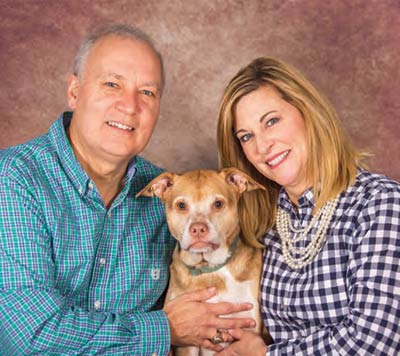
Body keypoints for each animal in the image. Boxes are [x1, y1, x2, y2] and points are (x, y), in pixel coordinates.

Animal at [137, 168, 268, 354]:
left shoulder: (248, 328)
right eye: (181, 205)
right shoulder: (189, 341)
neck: (210, 269)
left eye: (218, 204)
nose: (198, 229)